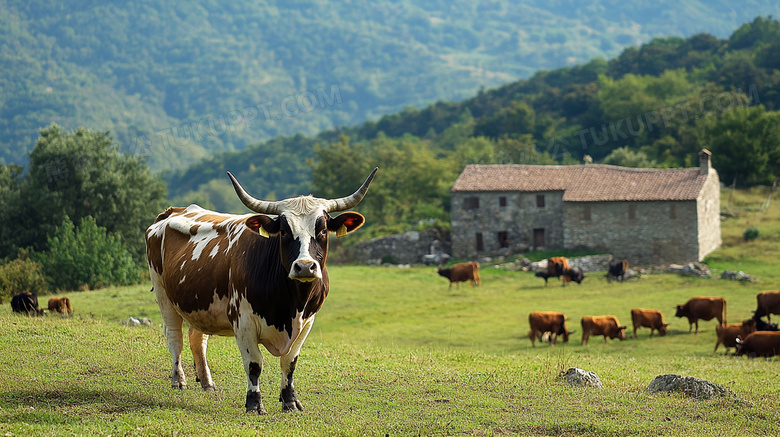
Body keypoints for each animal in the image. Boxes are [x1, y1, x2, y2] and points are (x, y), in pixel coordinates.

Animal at [148, 167, 380, 412]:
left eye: (323, 230)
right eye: (284, 231)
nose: (305, 266)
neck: (291, 305)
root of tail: (174, 211)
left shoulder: (307, 321)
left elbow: (289, 363)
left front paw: (290, 401)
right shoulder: (243, 321)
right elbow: (254, 364)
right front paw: (254, 403)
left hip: (200, 304)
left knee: (197, 338)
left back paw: (207, 383)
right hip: (163, 296)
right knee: (174, 337)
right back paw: (178, 380)